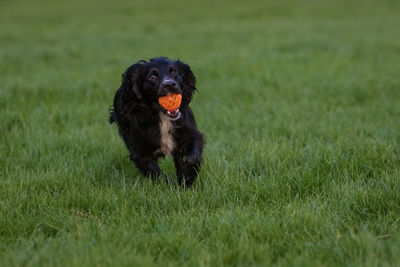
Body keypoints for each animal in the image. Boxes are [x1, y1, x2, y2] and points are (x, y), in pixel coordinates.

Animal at [108, 57, 203, 186]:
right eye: (152, 76)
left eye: (174, 72)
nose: (170, 85)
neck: (162, 118)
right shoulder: (140, 153)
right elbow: (157, 175)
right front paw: (170, 188)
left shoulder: (190, 134)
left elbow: (193, 157)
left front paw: (187, 178)